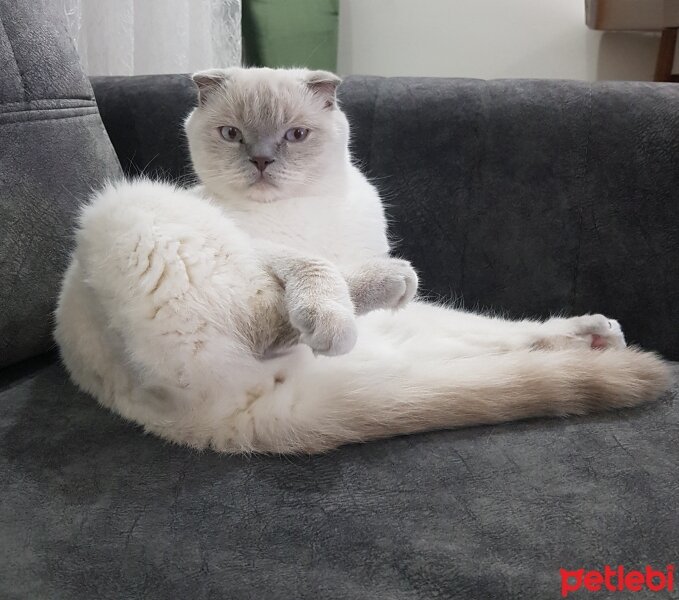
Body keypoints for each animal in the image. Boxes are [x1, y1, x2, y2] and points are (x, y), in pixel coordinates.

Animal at [54, 68, 668, 452]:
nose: (260, 161)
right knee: (268, 324)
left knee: (502, 343)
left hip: (425, 335)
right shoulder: (263, 246)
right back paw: (377, 291)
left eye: (295, 135)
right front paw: (334, 301)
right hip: (131, 211)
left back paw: (596, 339)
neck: (310, 210)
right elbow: (313, 265)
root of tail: (233, 422)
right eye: (231, 134)